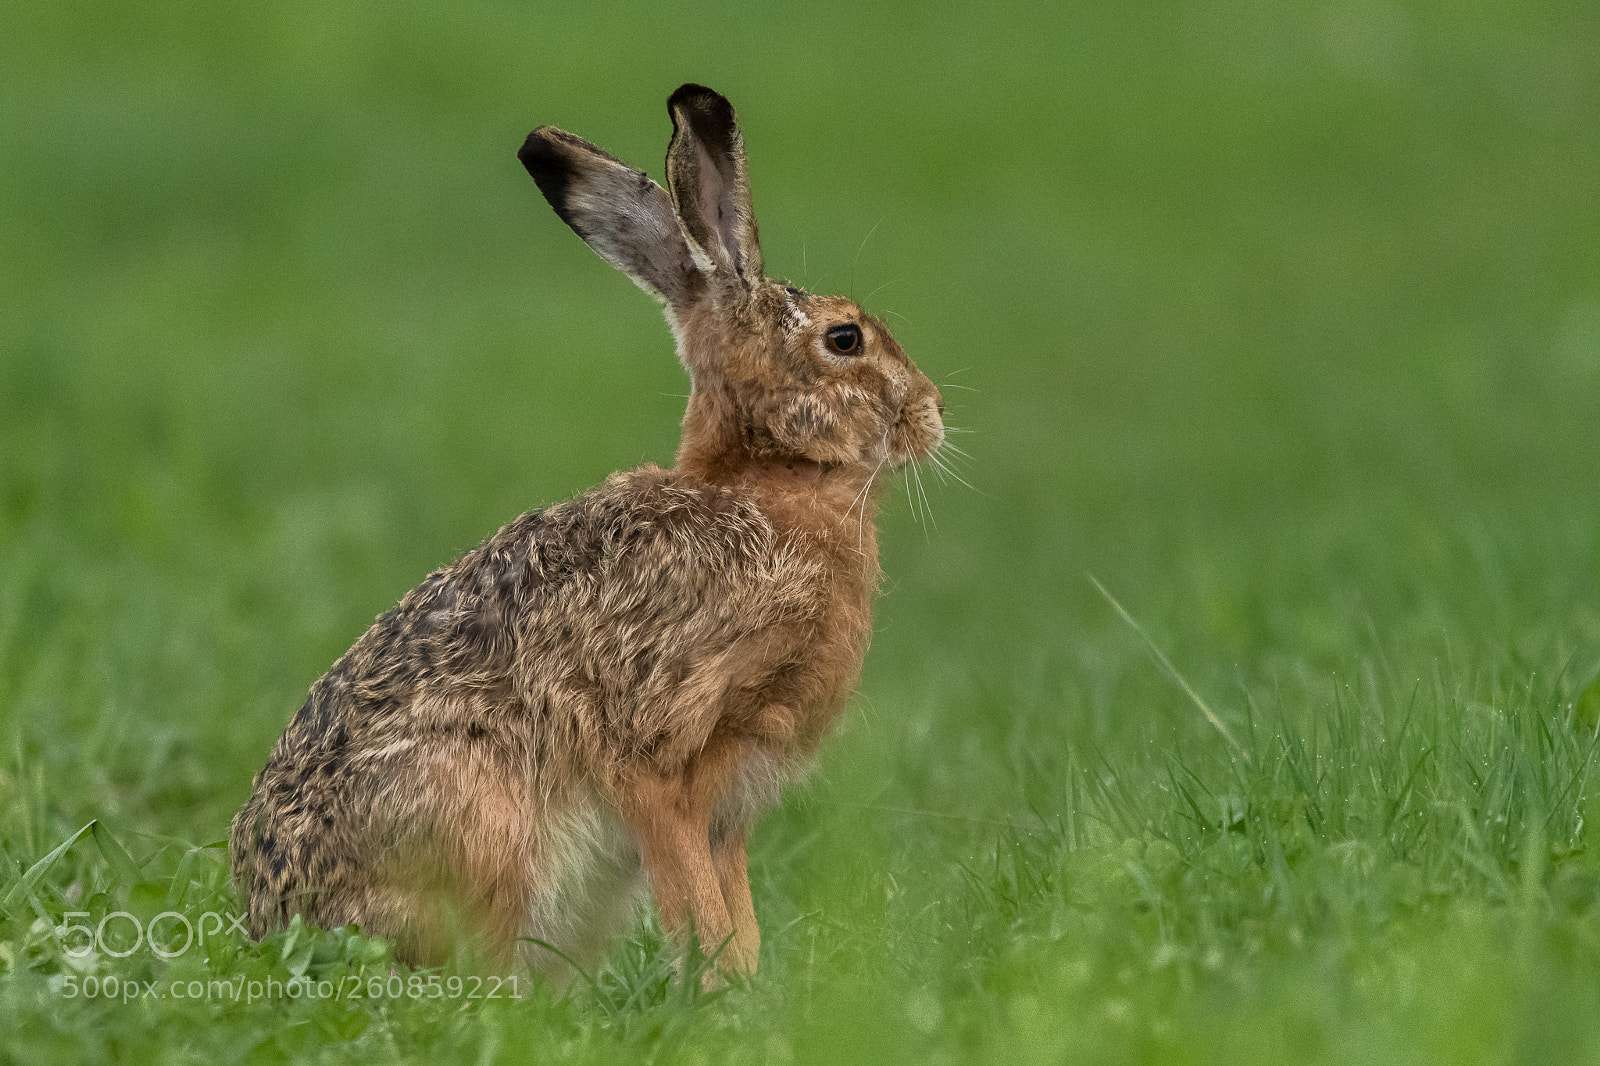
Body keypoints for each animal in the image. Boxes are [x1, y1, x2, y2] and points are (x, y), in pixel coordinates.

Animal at [229, 83, 945, 981]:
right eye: (845, 338)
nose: (934, 413)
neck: (765, 488)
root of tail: (276, 923)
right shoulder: (659, 754)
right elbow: (693, 894)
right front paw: (723, 987)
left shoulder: (731, 806)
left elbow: (733, 900)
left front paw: (749, 984)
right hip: (480, 826)